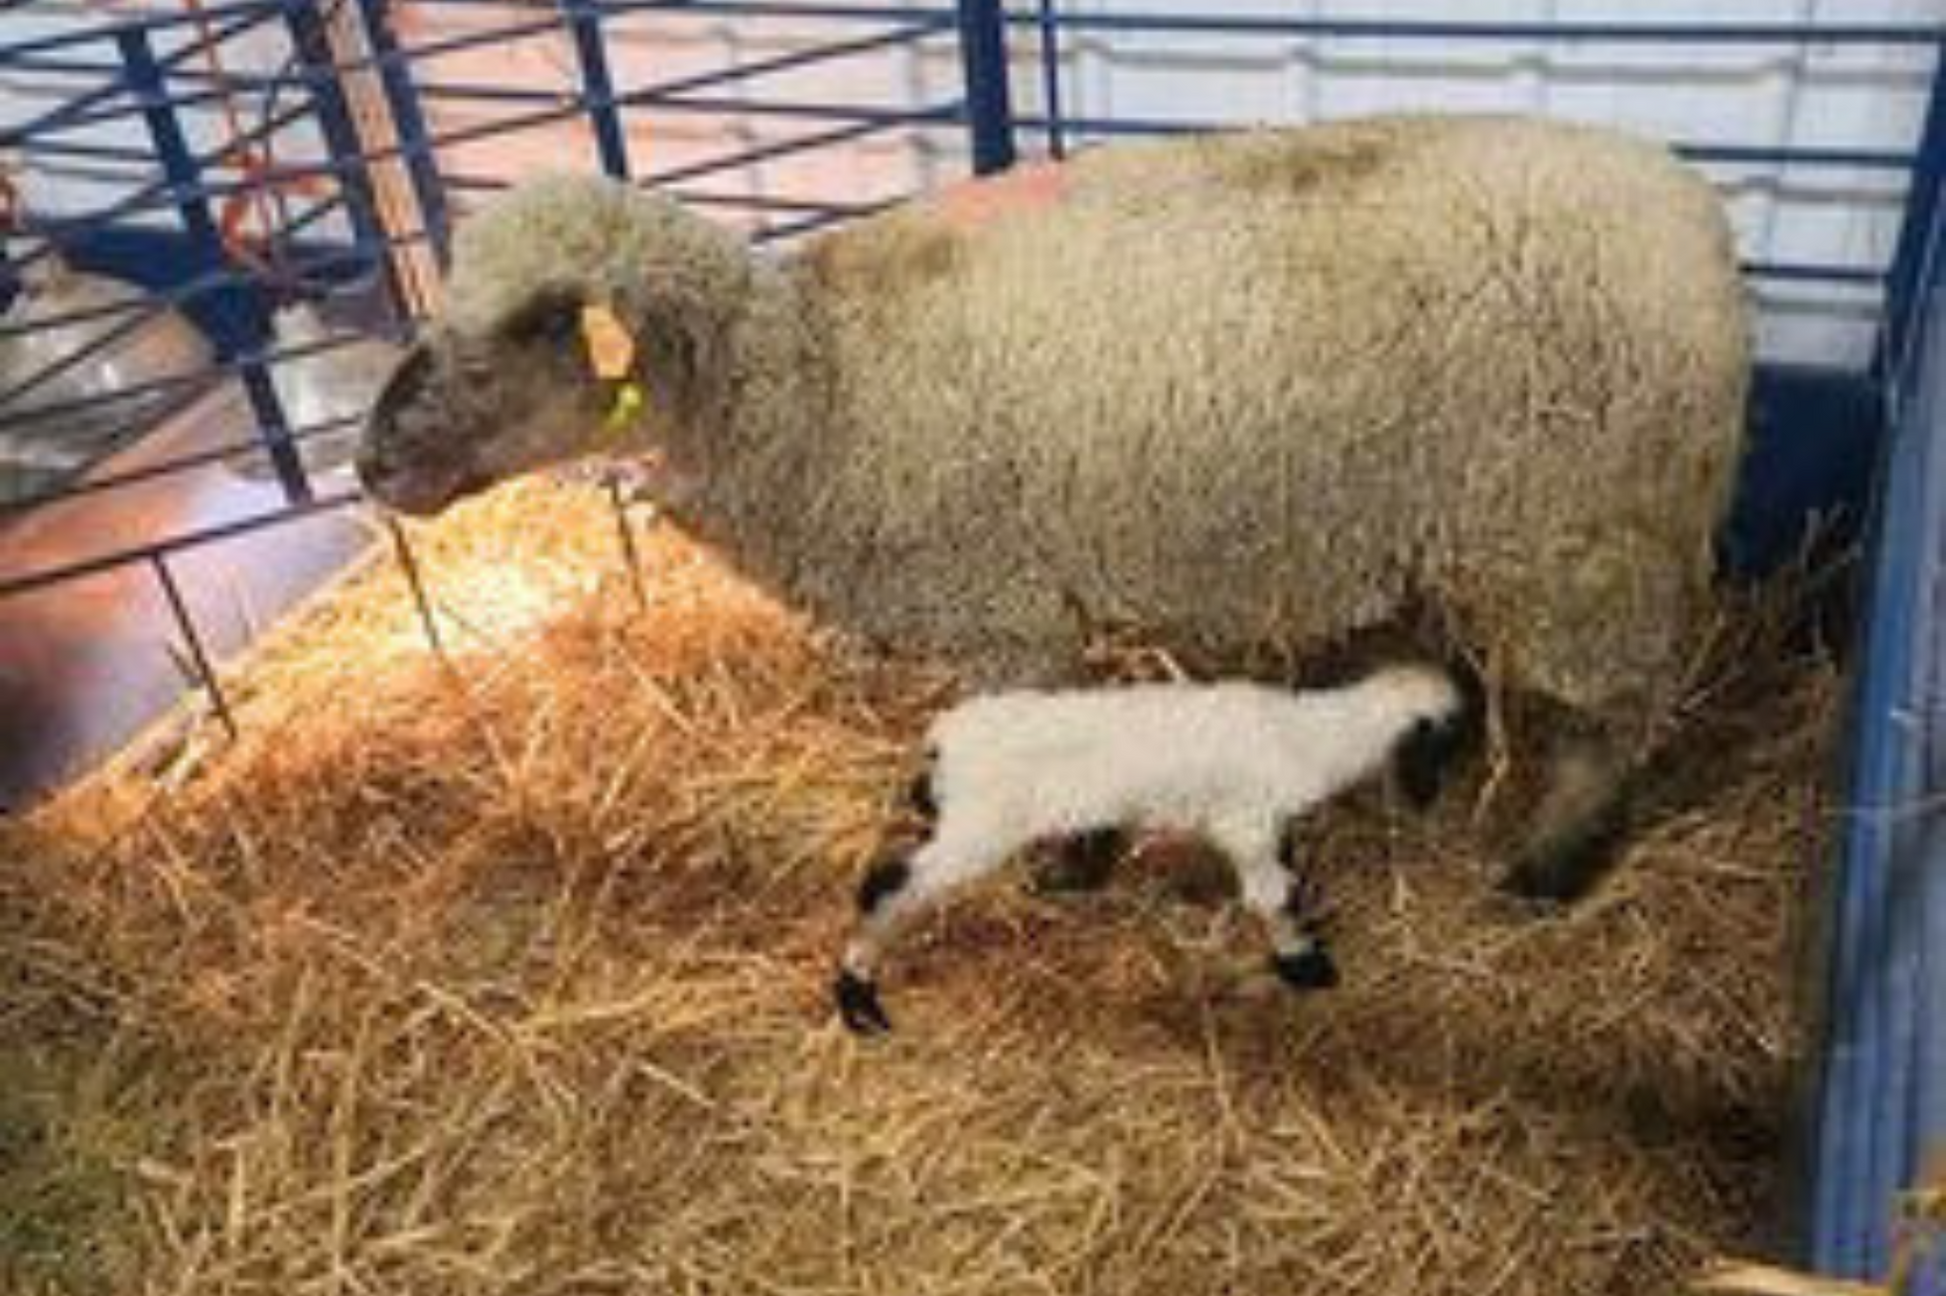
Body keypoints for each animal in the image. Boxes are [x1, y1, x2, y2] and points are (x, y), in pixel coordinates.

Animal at [355, 112, 1751, 904]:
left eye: (535, 326)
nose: (369, 469)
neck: (817, 380)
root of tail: (1699, 218)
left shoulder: (1003, 608)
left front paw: (1060, 869)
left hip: (1585, 537)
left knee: (1605, 717)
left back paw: (1546, 868)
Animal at [831, 662, 1474, 1034]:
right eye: (1452, 738)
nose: (1445, 794)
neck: (1313, 736)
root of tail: (943, 738)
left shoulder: (1269, 827)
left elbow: (1286, 882)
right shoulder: (1246, 822)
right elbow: (1271, 895)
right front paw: (1304, 964)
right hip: (980, 825)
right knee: (888, 886)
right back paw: (858, 991)